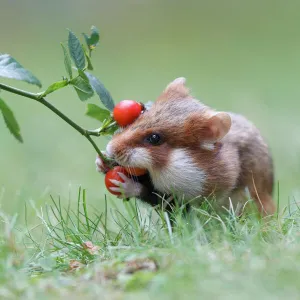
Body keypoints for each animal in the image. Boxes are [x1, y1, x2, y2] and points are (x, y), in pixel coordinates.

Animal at [96, 77, 276, 213]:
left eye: (154, 138)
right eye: (139, 115)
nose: (110, 149)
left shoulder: (191, 196)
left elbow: (152, 195)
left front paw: (123, 185)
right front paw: (101, 161)